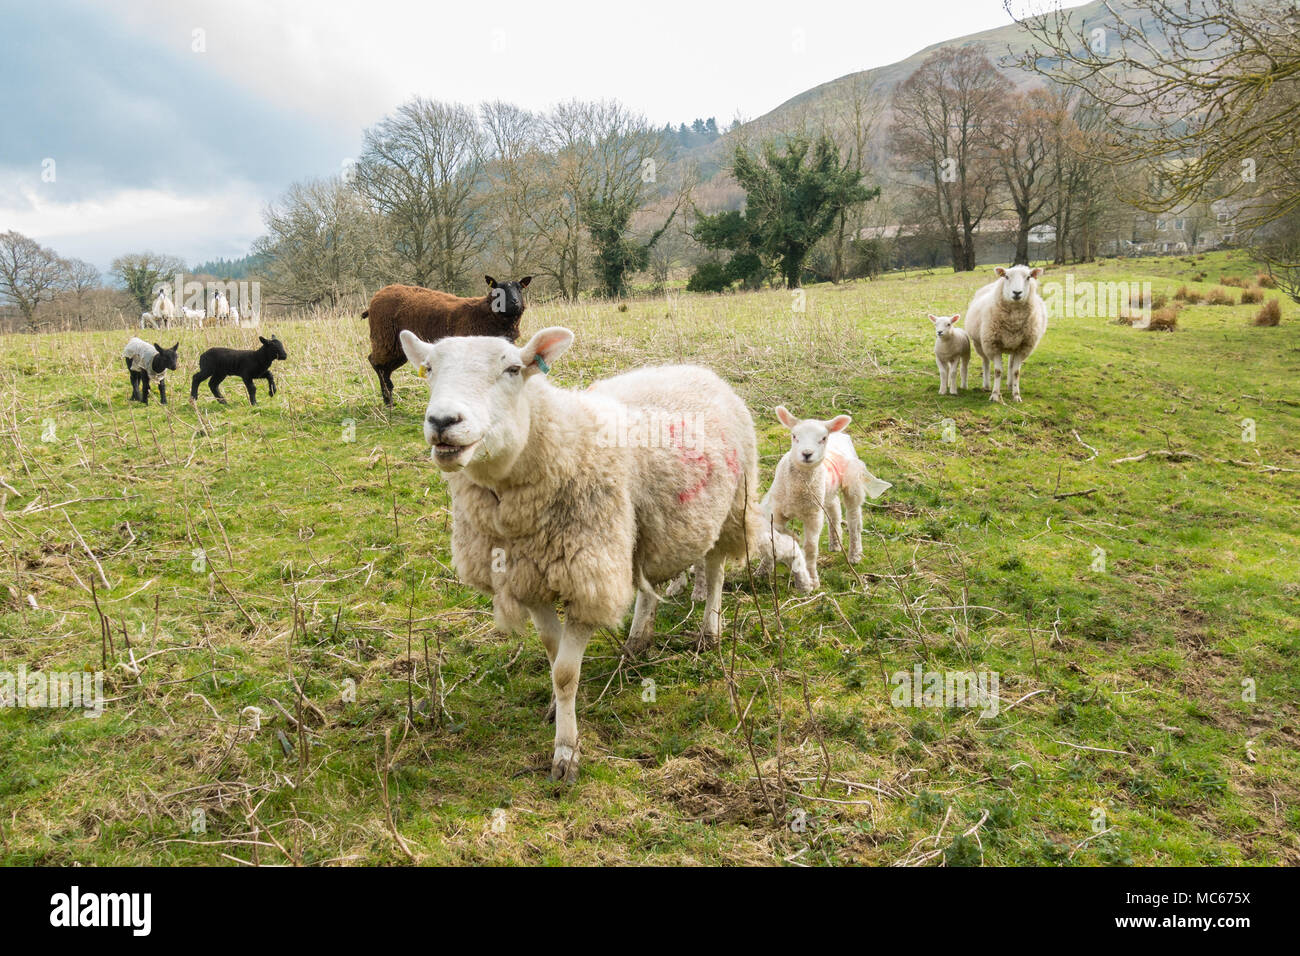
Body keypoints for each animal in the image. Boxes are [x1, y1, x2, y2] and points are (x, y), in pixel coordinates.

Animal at [365, 275, 532, 406]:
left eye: (520, 288)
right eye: (499, 289)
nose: (515, 302)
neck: (486, 315)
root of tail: (378, 295)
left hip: (397, 347)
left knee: (384, 368)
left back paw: (389, 397)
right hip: (384, 338)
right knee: (376, 363)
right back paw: (388, 399)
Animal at [397, 326, 810, 782]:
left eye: (513, 369)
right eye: (428, 369)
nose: (442, 422)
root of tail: (698, 369)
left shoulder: (588, 579)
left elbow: (565, 672)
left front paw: (566, 752)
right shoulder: (530, 578)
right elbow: (552, 651)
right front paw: (556, 710)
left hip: (729, 506)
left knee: (716, 568)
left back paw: (709, 631)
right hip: (648, 527)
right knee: (648, 584)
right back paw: (637, 640)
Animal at [761, 406, 892, 590]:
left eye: (823, 438)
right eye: (794, 436)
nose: (807, 454)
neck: (797, 491)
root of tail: (839, 433)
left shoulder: (813, 515)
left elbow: (810, 548)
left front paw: (812, 579)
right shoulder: (777, 512)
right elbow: (774, 539)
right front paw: (764, 570)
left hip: (852, 485)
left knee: (854, 519)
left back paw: (855, 554)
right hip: (826, 491)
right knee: (835, 509)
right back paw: (835, 543)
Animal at [963, 265, 1048, 403]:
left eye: (1028, 277)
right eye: (1007, 276)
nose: (1017, 293)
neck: (1014, 320)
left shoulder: (1022, 347)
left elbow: (1016, 372)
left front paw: (1016, 395)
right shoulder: (994, 345)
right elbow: (997, 371)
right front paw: (995, 395)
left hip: (1013, 344)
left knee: (1010, 364)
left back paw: (1009, 384)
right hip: (980, 343)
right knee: (986, 362)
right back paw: (986, 385)